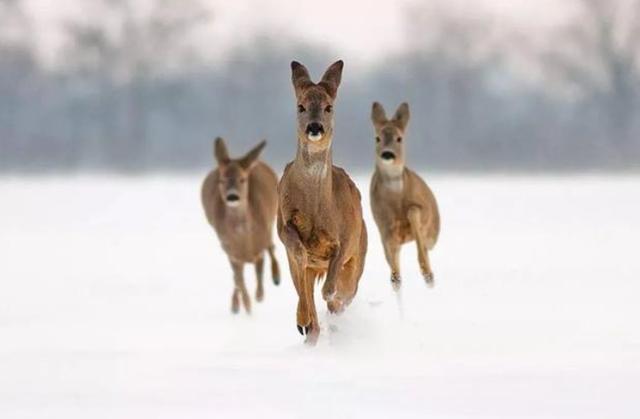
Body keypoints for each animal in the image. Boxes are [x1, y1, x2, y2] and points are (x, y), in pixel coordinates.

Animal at [200, 139, 280, 316]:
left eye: (243, 179)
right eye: (222, 180)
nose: (232, 196)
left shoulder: (259, 246)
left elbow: (259, 271)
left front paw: (259, 296)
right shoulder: (231, 252)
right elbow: (238, 279)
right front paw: (247, 306)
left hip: (272, 218)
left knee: (272, 246)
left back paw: (277, 277)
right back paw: (236, 305)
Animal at [276, 60, 370, 344]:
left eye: (329, 107)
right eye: (301, 106)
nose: (315, 127)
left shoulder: (346, 237)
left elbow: (331, 285)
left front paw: (331, 300)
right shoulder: (282, 224)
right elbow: (298, 253)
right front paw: (304, 321)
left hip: (360, 254)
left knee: (343, 293)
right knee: (306, 293)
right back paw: (308, 328)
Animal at [370, 102, 440, 292]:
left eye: (399, 138)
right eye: (377, 138)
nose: (387, 154)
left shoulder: (423, 211)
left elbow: (413, 212)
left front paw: (425, 271)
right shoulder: (383, 226)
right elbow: (392, 257)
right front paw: (396, 279)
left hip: (433, 233)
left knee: (426, 247)